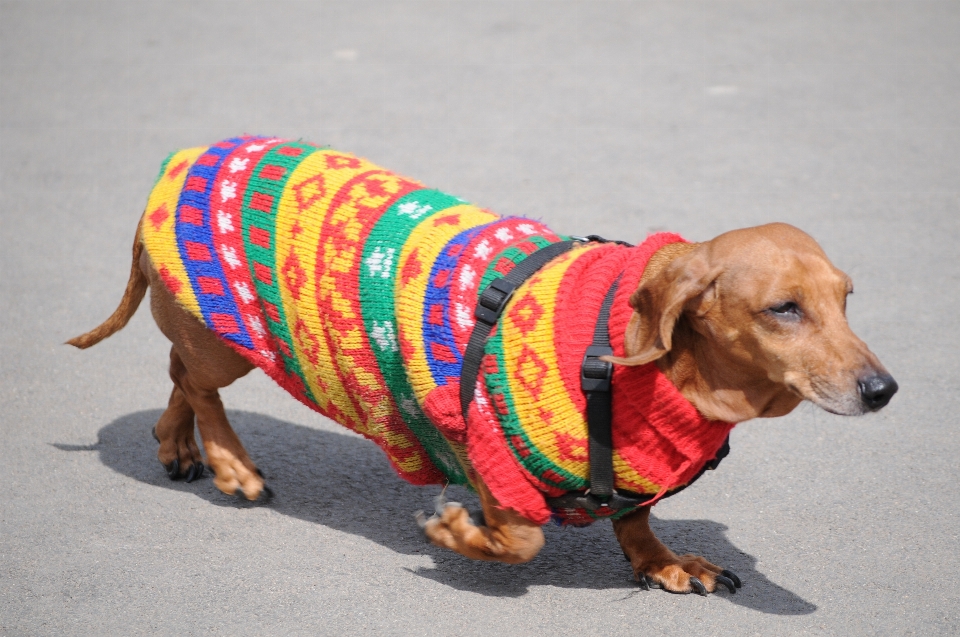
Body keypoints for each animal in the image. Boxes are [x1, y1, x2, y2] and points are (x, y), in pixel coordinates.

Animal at [71, 135, 896, 596]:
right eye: (783, 308)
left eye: (846, 296)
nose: (883, 389)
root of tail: (181, 163)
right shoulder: (484, 441)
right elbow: (522, 536)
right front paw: (456, 533)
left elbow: (634, 518)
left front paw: (664, 562)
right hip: (223, 343)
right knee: (196, 381)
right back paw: (229, 462)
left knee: (176, 372)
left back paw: (177, 444)